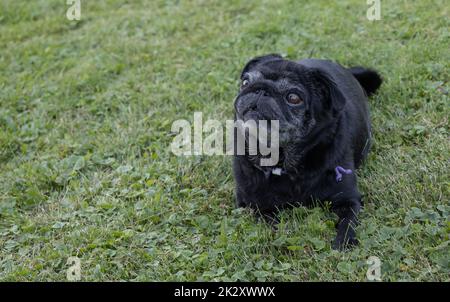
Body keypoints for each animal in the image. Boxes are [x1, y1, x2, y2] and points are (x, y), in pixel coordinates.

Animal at [232, 54, 384, 250]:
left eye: (293, 98)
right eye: (245, 82)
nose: (260, 90)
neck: (282, 159)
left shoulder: (349, 199)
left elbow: (348, 222)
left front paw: (344, 242)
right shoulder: (254, 204)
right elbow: (269, 225)